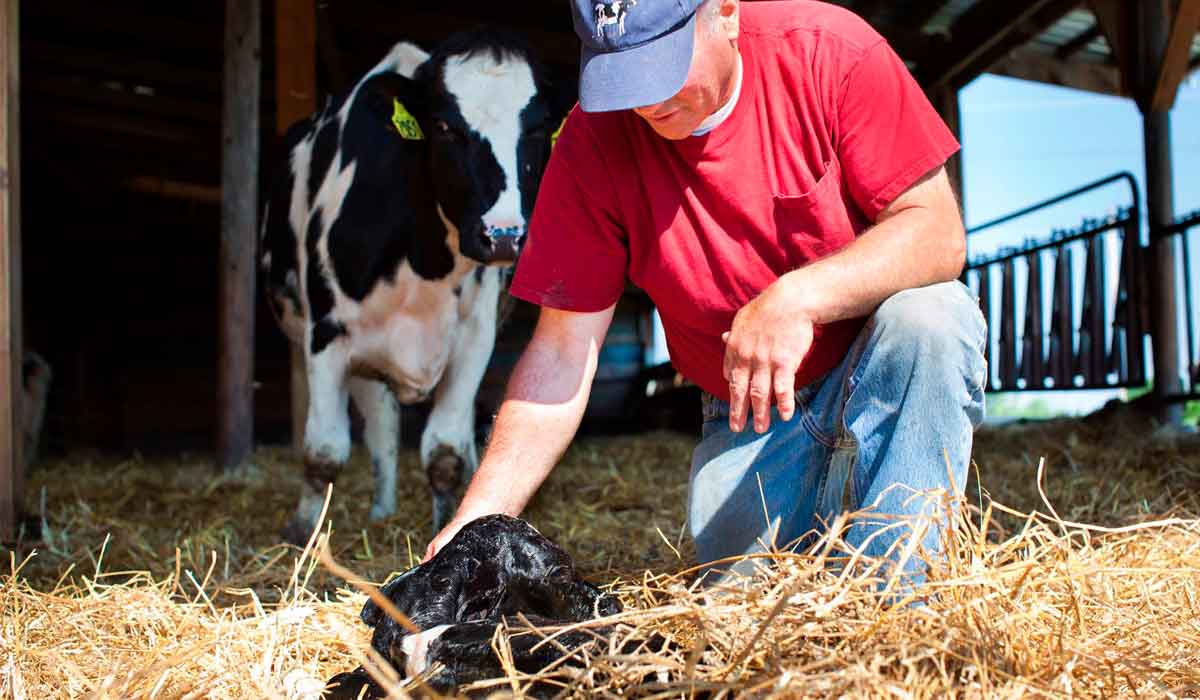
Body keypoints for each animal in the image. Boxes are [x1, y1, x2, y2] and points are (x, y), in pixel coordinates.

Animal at [262, 32, 561, 545]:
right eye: (444, 126)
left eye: (538, 128)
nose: (503, 235)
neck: (423, 267)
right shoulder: (325, 336)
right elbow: (324, 450)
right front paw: (303, 534)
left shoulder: (475, 339)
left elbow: (445, 450)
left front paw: (449, 523)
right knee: (380, 431)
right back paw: (381, 510)